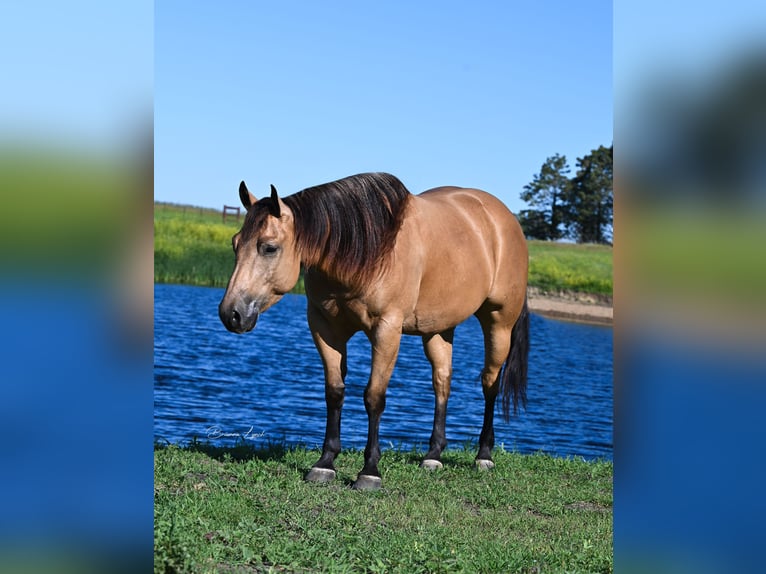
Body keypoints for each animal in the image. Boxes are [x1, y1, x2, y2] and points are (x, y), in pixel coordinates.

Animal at [219, 171, 532, 490]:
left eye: (269, 247)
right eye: (235, 243)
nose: (231, 314)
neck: (366, 250)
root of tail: (503, 218)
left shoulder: (387, 330)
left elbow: (374, 397)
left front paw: (369, 470)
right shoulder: (324, 328)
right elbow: (334, 392)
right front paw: (325, 463)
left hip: (499, 322)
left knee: (490, 382)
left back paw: (484, 455)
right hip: (440, 328)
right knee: (442, 382)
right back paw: (433, 456)